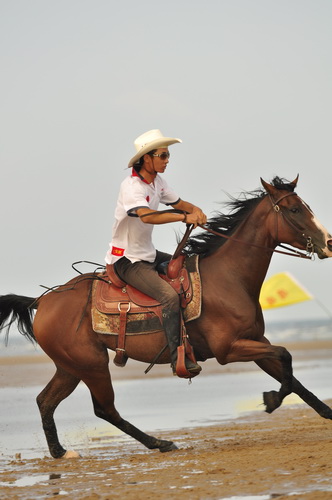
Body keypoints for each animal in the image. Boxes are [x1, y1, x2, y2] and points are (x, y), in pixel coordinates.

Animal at [0, 177, 332, 460]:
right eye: (294, 209)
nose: (329, 242)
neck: (228, 278)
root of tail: (43, 301)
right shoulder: (230, 349)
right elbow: (286, 356)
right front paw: (272, 400)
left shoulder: (255, 342)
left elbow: (291, 376)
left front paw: (324, 412)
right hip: (91, 365)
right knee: (104, 409)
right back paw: (159, 443)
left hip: (71, 367)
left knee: (46, 401)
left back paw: (60, 452)